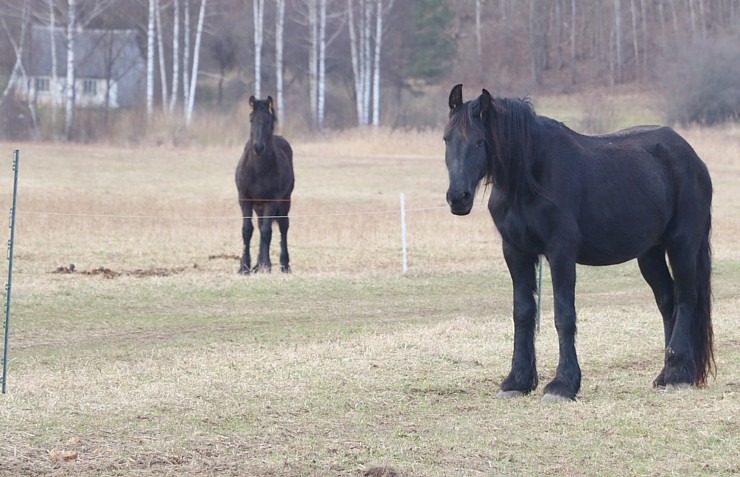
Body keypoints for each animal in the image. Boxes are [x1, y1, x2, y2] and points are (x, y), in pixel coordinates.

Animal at [237, 95, 294, 274]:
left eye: (268, 121)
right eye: (251, 119)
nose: (258, 147)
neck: (258, 170)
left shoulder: (272, 201)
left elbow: (267, 232)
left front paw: (267, 265)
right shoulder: (244, 199)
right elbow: (247, 230)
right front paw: (244, 267)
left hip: (284, 202)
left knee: (283, 227)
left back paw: (284, 265)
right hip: (258, 206)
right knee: (261, 224)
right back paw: (257, 265)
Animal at [442, 83, 712, 400]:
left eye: (480, 141)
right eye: (446, 139)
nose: (458, 198)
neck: (531, 176)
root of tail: (691, 156)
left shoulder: (561, 252)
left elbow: (563, 315)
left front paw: (562, 384)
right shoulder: (516, 251)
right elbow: (523, 313)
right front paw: (517, 381)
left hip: (682, 244)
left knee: (686, 298)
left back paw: (679, 374)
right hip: (650, 253)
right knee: (668, 301)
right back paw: (665, 374)